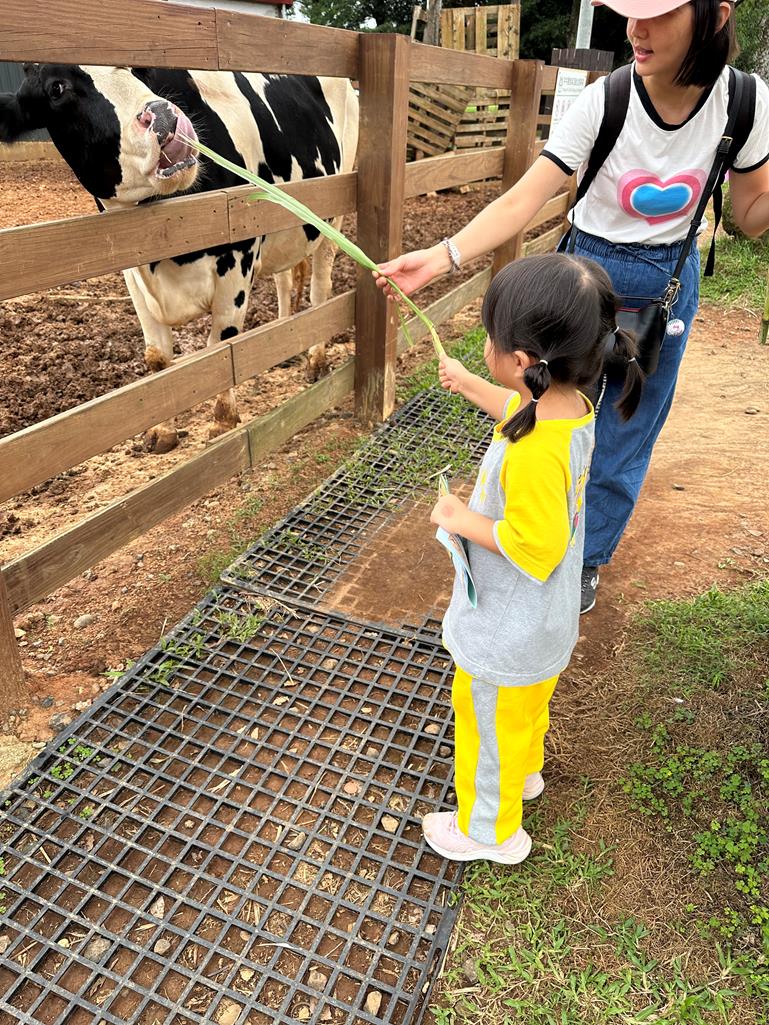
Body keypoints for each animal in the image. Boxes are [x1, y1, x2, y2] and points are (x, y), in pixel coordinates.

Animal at [0, 64, 358, 448]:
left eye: (132, 70)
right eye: (57, 88)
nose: (162, 114)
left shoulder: (238, 255)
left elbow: (222, 340)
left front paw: (222, 421)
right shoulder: (133, 268)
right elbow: (157, 357)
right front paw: (162, 431)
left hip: (332, 214)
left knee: (320, 289)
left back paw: (315, 360)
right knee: (285, 279)